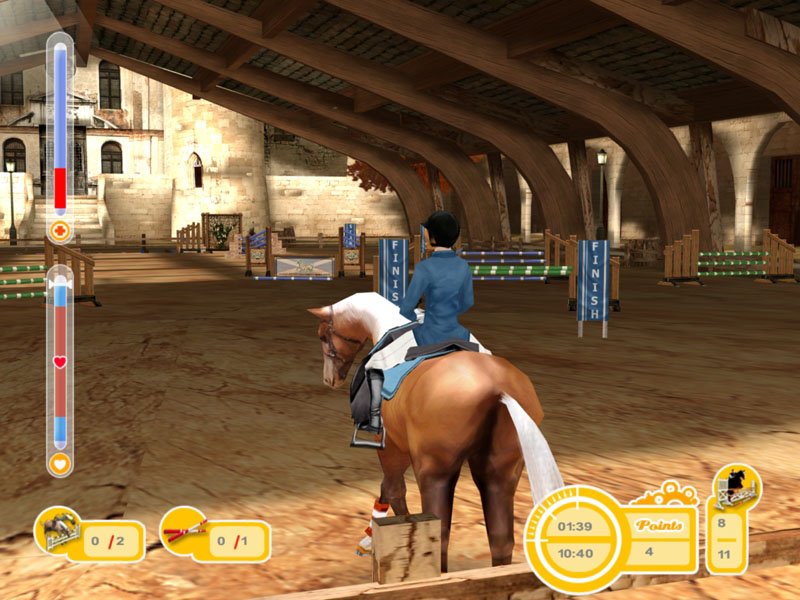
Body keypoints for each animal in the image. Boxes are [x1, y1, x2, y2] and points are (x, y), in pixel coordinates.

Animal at [309, 292, 563, 571]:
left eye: (323, 336)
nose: (329, 379)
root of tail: (498, 388)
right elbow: (390, 488)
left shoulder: (392, 445)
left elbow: (393, 488)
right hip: (501, 472)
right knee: (500, 539)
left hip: (435, 472)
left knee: (439, 536)